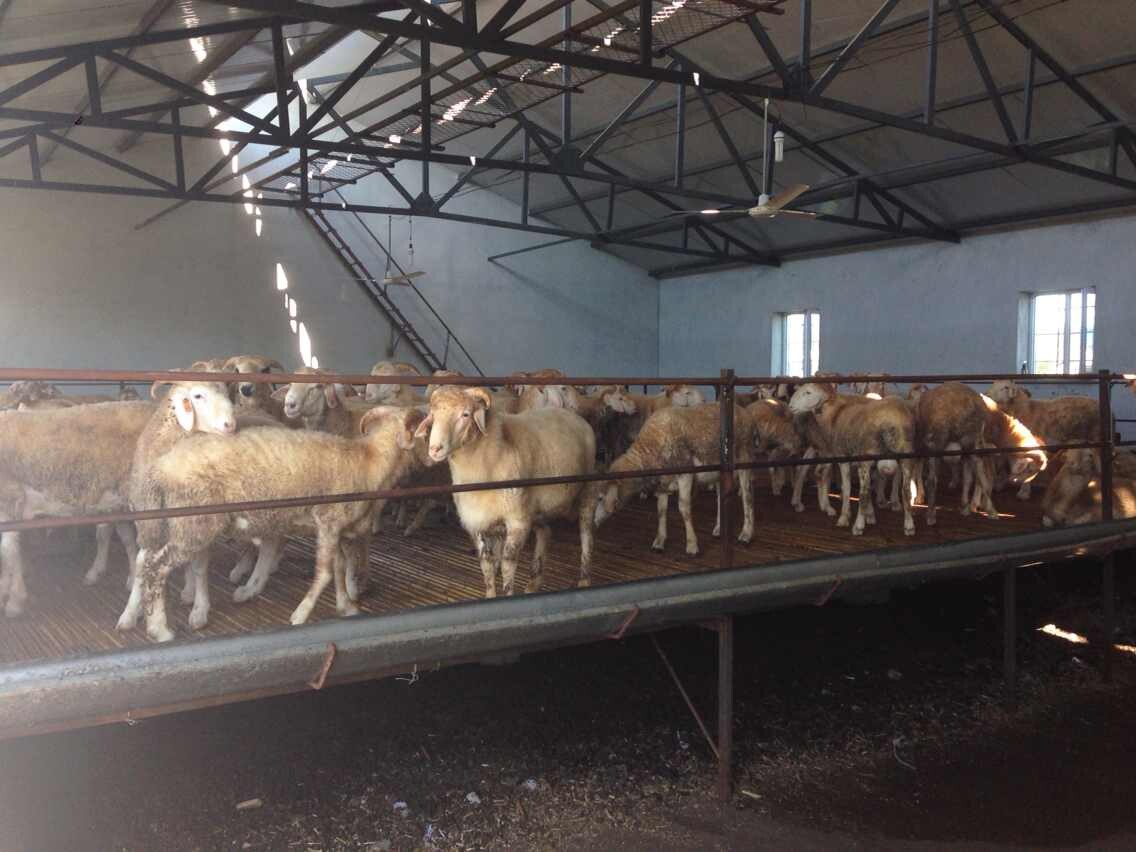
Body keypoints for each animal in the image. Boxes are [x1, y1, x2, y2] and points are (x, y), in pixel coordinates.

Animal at [125, 406, 428, 642]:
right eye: (426, 431)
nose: (434, 456)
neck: (370, 461)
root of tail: (162, 467)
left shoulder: (336, 529)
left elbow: (339, 568)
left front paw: (346, 607)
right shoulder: (328, 521)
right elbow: (325, 573)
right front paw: (301, 615)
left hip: (176, 523)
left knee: (148, 560)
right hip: (193, 523)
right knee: (156, 567)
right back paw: (160, 629)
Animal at [414, 386, 595, 597]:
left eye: (465, 414)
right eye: (433, 415)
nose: (435, 449)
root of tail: (573, 416)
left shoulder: (517, 521)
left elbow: (508, 565)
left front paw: (508, 595)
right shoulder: (479, 522)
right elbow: (487, 564)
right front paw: (490, 595)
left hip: (587, 490)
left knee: (586, 532)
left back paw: (584, 578)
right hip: (536, 508)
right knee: (545, 532)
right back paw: (534, 582)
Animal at [590, 402, 756, 555]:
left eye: (600, 498)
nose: (592, 524)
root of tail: (743, 411)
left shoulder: (685, 475)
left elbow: (684, 508)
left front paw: (692, 545)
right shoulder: (663, 482)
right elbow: (661, 510)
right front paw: (659, 541)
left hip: (744, 457)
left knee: (747, 496)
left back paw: (746, 534)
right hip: (719, 471)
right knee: (721, 497)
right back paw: (719, 528)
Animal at [789, 382, 917, 536]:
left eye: (808, 392)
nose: (790, 406)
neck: (834, 413)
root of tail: (889, 420)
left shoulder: (843, 457)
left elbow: (847, 488)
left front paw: (845, 516)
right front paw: (870, 515)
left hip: (865, 455)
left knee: (863, 491)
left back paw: (857, 525)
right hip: (906, 455)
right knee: (906, 490)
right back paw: (909, 525)